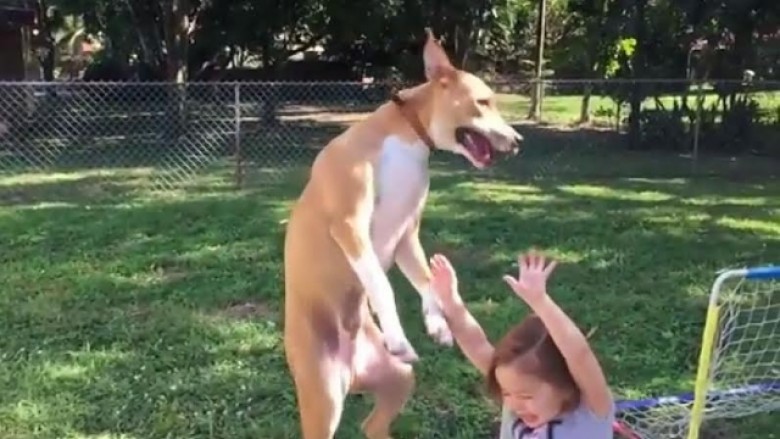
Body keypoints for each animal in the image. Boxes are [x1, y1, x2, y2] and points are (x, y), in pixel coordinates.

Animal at [280, 29, 524, 438]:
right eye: (483, 102)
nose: (518, 140)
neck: (408, 137)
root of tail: (352, 370)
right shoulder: (350, 226)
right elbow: (382, 285)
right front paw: (399, 335)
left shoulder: (407, 237)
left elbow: (425, 281)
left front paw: (437, 323)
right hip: (323, 398)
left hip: (398, 379)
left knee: (372, 424)